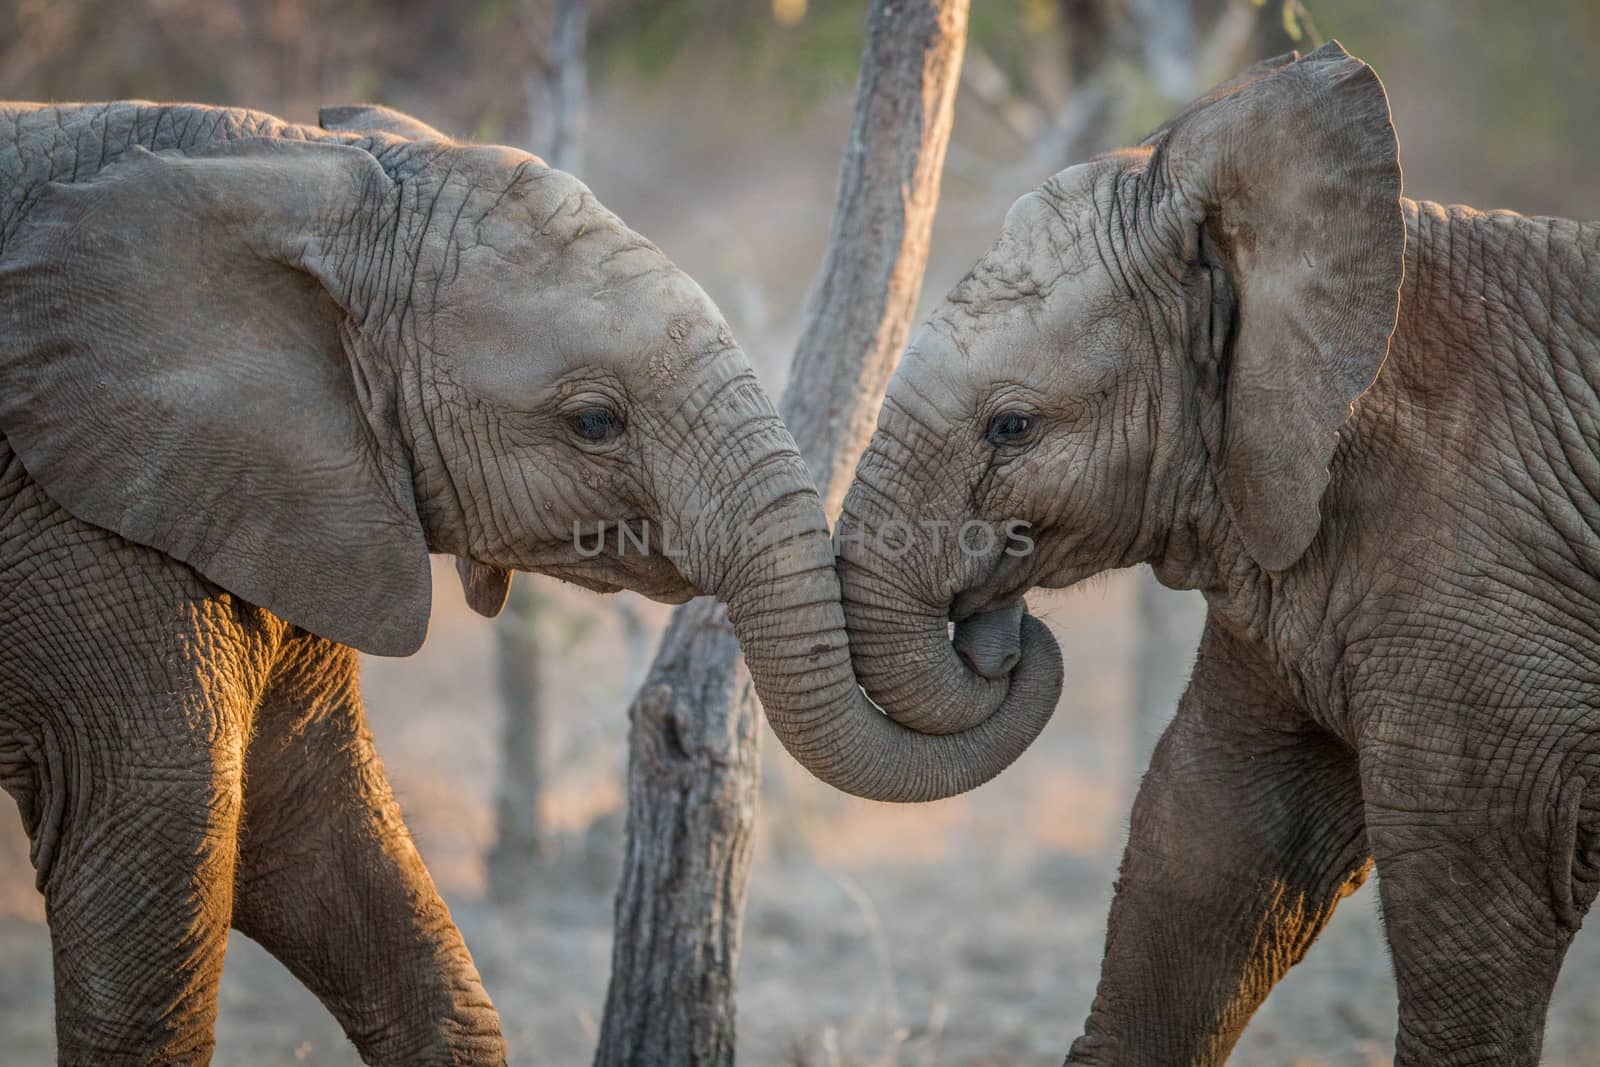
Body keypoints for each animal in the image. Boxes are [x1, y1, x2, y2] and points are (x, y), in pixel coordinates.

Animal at [0, 102, 1062, 1067]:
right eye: (594, 421)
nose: (1004, 620)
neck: (285, 163)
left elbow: (315, 825)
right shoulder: (82, 530)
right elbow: (169, 838)